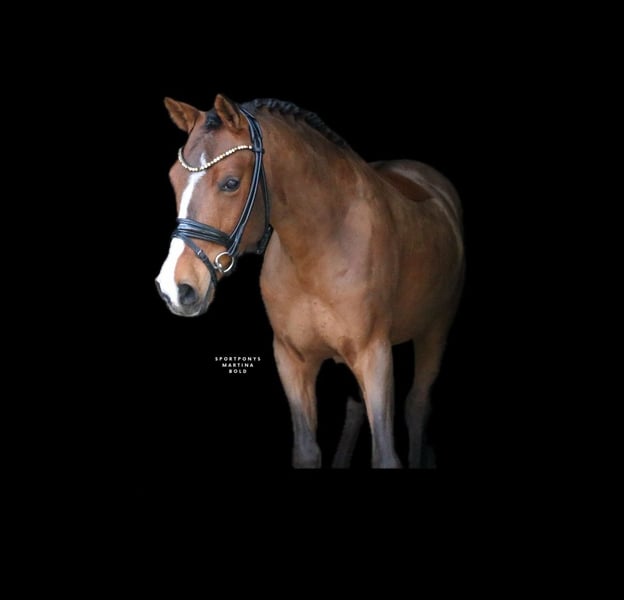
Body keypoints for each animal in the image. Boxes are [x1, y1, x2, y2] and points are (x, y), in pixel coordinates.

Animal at [155, 94, 465, 468]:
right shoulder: (292, 358)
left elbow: (385, 454)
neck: (320, 248)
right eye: (173, 179)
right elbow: (306, 450)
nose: (175, 288)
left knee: (417, 407)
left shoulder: (374, 355)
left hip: (434, 332)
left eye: (230, 182)